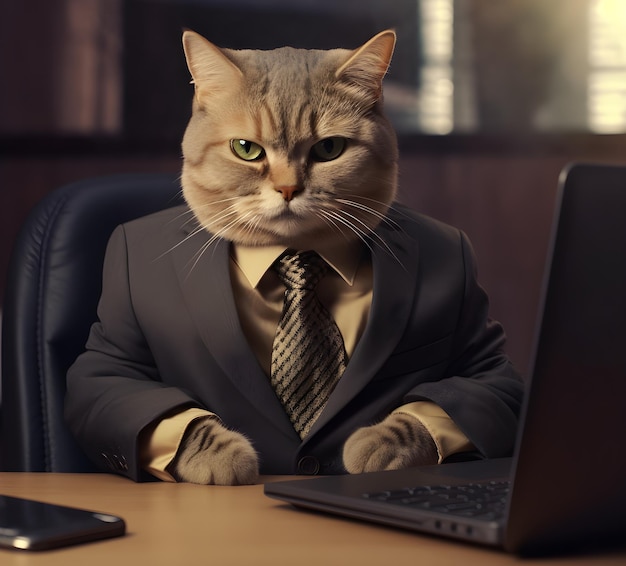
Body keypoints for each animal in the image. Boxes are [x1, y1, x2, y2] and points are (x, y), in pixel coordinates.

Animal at [168, 28, 436, 486]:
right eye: (246, 149)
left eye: (329, 149)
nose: (288, 188)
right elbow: (183, 422)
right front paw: (221, 455)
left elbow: (424, 412)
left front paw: (380, 444)